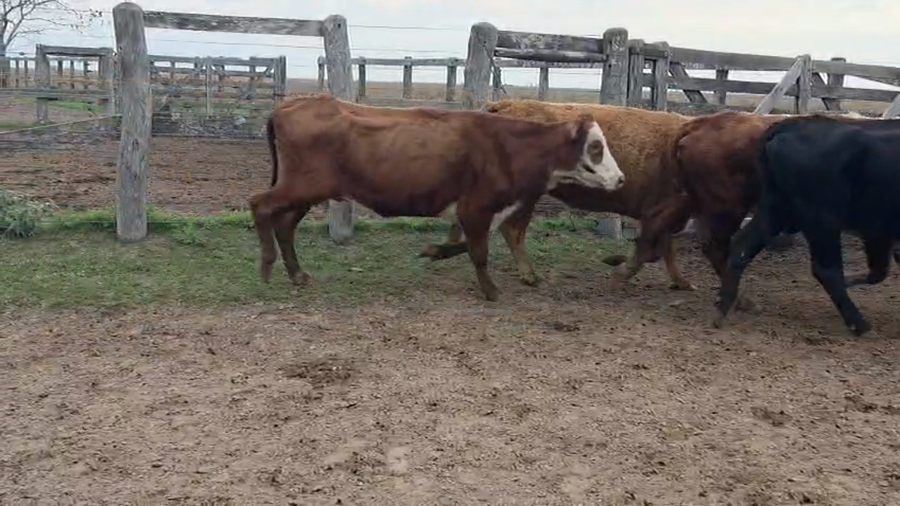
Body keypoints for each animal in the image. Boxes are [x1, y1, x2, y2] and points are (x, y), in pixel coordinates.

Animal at [248, 94, 625, 302]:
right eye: (596, 147)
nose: (621, 179)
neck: (506, 146)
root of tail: (289, 104)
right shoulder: (476, 207)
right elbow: (479, 253)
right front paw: (491, 291)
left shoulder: (475, 211)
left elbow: (466, 245)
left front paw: (434, 251)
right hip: (301, 187)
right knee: (259, 204)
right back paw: (266, 266)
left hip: (306, 192)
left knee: (285, 225)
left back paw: (296, 274)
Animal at [420, 99, 697, 291]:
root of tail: (503, 105)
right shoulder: (661, 213)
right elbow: (649, 251)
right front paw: (617, 274)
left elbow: (663, 250)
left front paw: (683, 283)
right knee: (512, 230)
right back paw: (530, 276)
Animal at [713, 114, 900, 336]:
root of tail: (794, 125)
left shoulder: (879, 234)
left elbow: (878, 270)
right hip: (822, 221)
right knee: (827, 270)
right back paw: (859, 324)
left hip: (775, 210)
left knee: (741, 248)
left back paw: (723, 308)